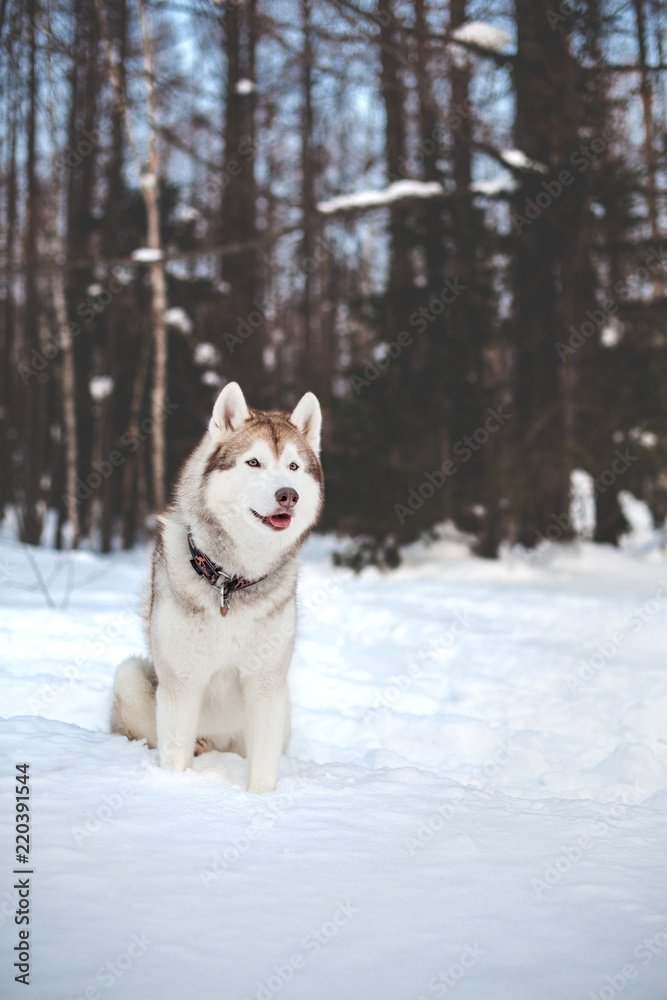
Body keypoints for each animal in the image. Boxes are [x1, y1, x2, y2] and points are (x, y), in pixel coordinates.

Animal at [111, 378, 324, 792]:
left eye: (293, 466)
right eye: (253, 462)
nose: (288, 495)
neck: (231, 581)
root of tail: (218, 744)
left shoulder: (266, 683)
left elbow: (263, 768)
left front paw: (261, 799)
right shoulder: (181, 682)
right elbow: (174, 757)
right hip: (130, 678)